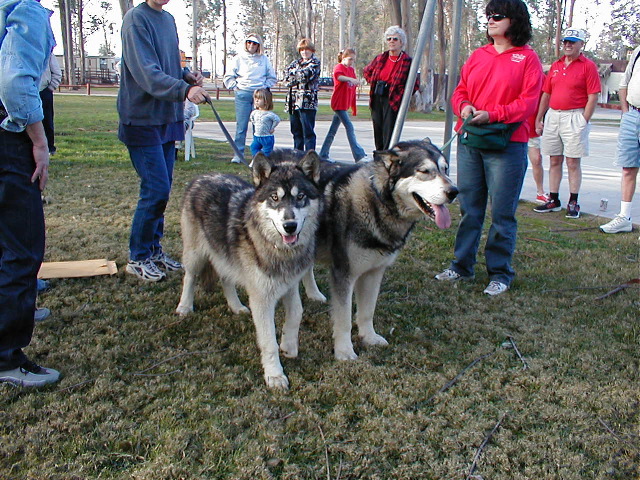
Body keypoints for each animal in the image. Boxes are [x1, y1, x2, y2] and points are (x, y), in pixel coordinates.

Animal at [175, 151, 321, 389]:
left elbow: (297, 313)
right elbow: (269, 341)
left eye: (300, 197)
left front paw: (289, 346)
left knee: (226, 280)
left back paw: (236, 307)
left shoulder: (290, 285)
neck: (278, 249)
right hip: (195, 256)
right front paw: (274, 375)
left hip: (225, 256)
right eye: (274, 198)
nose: (290, 226)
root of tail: (202, 176)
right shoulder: (262, 299)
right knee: (189, 277)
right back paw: (185, 307)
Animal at [297, 139, 458, 361]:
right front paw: (344, 351)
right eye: (424, 171)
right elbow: (344, 318)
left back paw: (314, 294)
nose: (454, 192)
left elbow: (367, 311)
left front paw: (369, 337)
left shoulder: (374, 272)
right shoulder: (344, 274)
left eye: (445, 169)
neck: (378, 202)